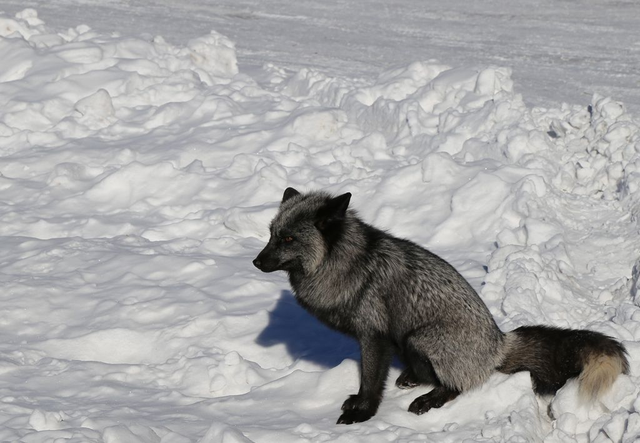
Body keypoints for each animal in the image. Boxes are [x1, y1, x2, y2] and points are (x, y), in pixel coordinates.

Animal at [252, 189, 628, 424]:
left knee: (457, 386)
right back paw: (411, 379)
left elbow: (371, 381)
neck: (349, 264)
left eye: (289, 239)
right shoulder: (380, 338)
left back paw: (428, 399)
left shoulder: (374, 336)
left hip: (420, 338)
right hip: (407, 341)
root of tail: (499, 343)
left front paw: (362, 413)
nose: (255, 262)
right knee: (429, 375)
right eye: (271, 234)